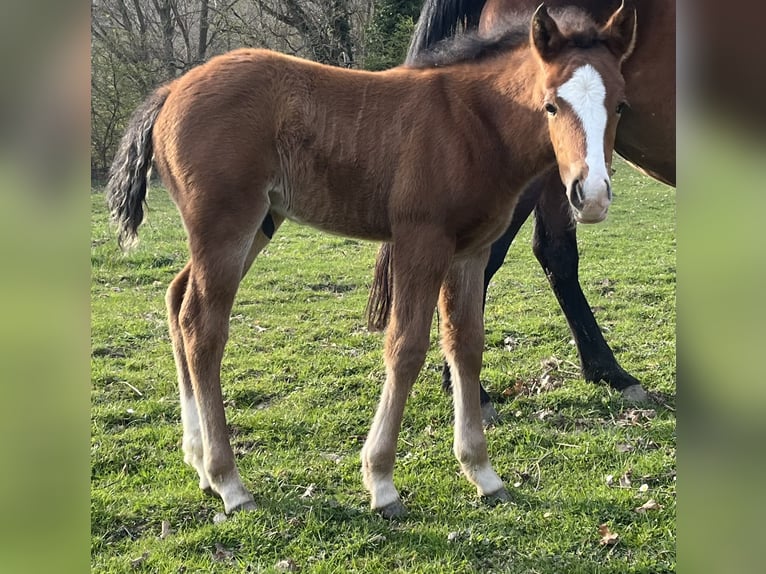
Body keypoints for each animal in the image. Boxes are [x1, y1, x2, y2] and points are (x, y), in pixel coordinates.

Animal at [106, 4, 636, 517]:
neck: (471, 123)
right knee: (202, 326)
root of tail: (171, 90)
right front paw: (381, 482)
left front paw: (483, 474)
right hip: (226, 227)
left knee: (177, 300)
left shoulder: (471, 250)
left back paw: (199, 462)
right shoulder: (421, 240)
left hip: (256, 224)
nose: (590, 196)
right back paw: (229, 482)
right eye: (550, 104)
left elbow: (465, 345)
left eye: (620, 106)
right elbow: (405, 347)